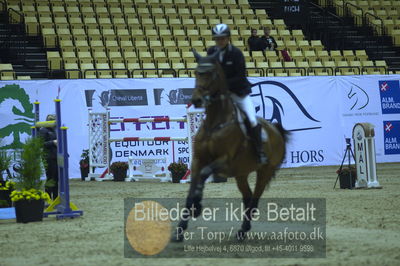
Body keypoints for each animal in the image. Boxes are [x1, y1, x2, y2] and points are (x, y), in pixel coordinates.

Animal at [173, 50, 290, 241]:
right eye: (196, 72)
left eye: (211, 74)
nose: (196, 100)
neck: (215, 123)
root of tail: (275, 129)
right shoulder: (197, 160)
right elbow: (191, 191)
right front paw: (180, 229)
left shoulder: (224, 161)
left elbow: (204, 175)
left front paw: (197, 207)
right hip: (241, 174)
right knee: (248, 197)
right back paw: (243, 229)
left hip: (264, 171)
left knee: (255, 198)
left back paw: (243, 230)